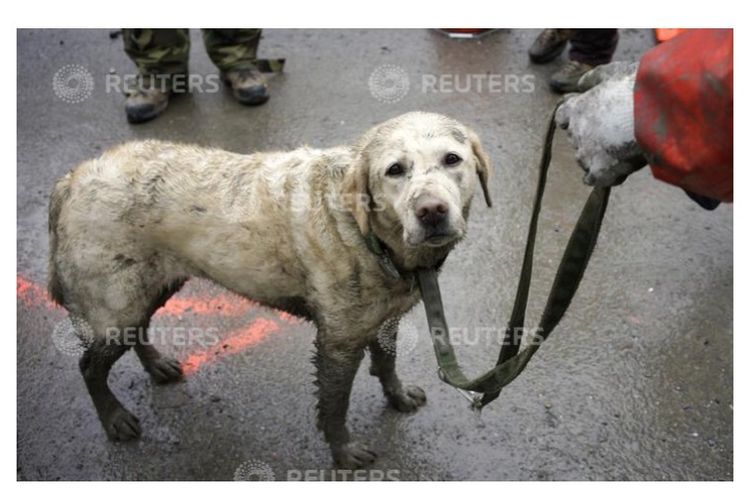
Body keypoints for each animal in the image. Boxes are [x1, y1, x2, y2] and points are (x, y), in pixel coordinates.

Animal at [47, 111, 494, 466]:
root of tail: (72, 178)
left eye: (452, 159)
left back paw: (156, 365)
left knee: (137, 328)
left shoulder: (384, 320)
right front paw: (343, 451)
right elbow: (335, 404)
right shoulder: (338, 342)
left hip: (149, 285)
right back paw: (114, 417)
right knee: (89, 366)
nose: (432, 212)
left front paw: (397, 396)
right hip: (116, 300)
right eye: (395, 170)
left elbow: (386, 364)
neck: (367, 233)